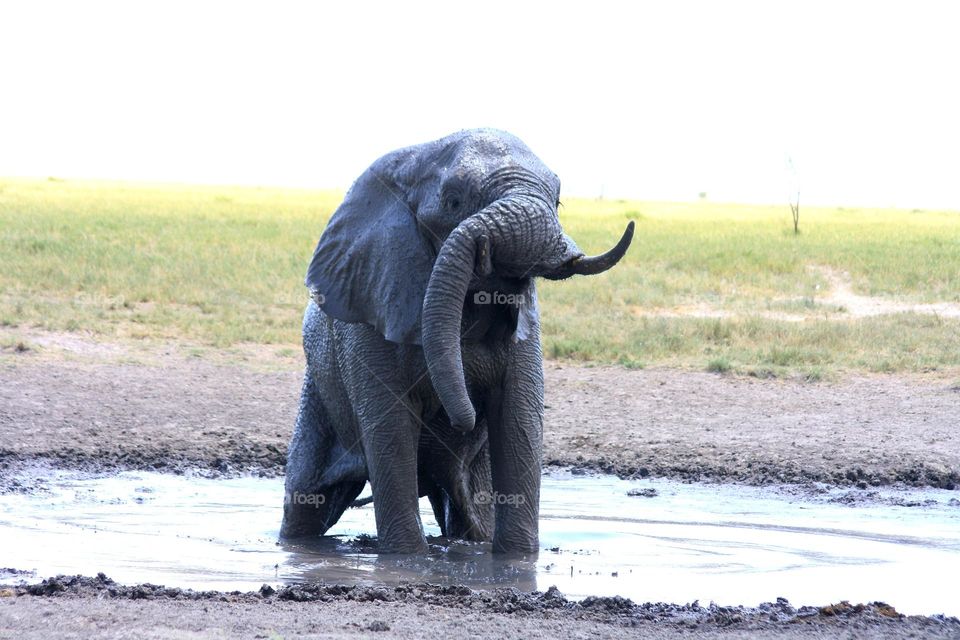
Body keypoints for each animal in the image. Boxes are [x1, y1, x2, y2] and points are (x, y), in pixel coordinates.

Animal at [280, 129, 634, 553]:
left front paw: (517, 561)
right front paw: (407, 561)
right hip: (318, 392)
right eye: (453, 201)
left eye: (559, 199)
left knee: (471, 511)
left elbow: (519, 423)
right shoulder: (368, 323)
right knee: (305, 502)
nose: (460, 417)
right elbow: (391, 430)